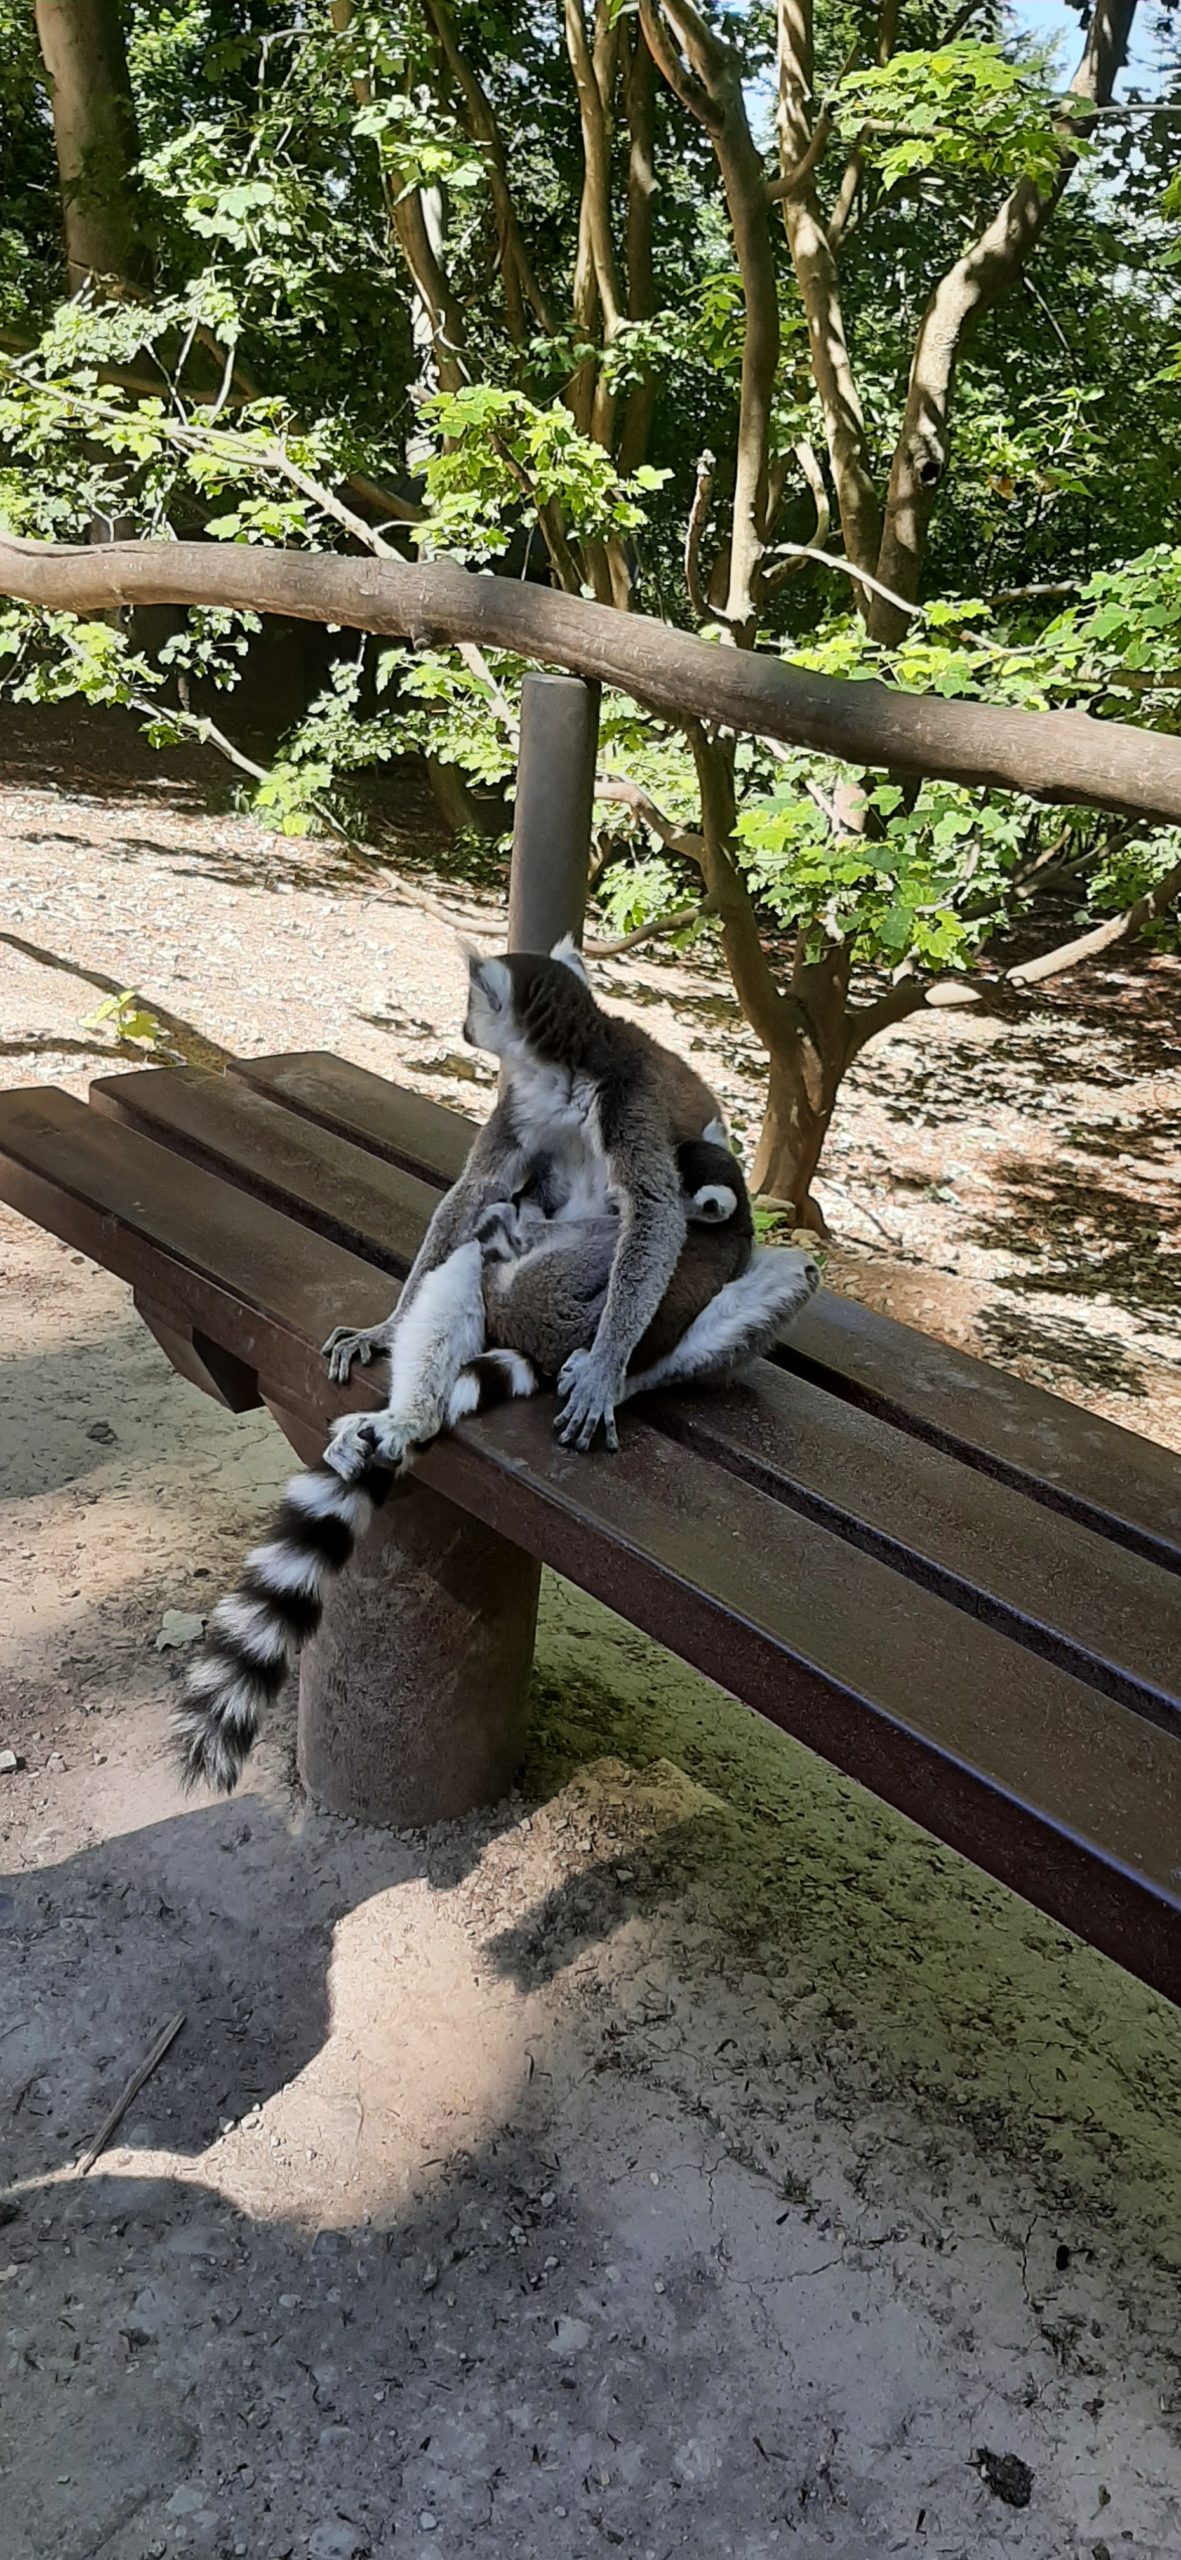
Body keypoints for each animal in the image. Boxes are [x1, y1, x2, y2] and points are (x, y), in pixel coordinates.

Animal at [174, 943, 819, 1794]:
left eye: (473, 1004)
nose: (458, 1026)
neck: (566, 1078)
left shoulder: (634, 1106)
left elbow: (650, 1215)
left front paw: (605, 1366)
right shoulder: (522, 1109)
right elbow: (472, 1195)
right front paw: (387, 1326)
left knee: (761, 1266)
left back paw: (613, 1372)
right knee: (472, 1256)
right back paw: (403, 1417)